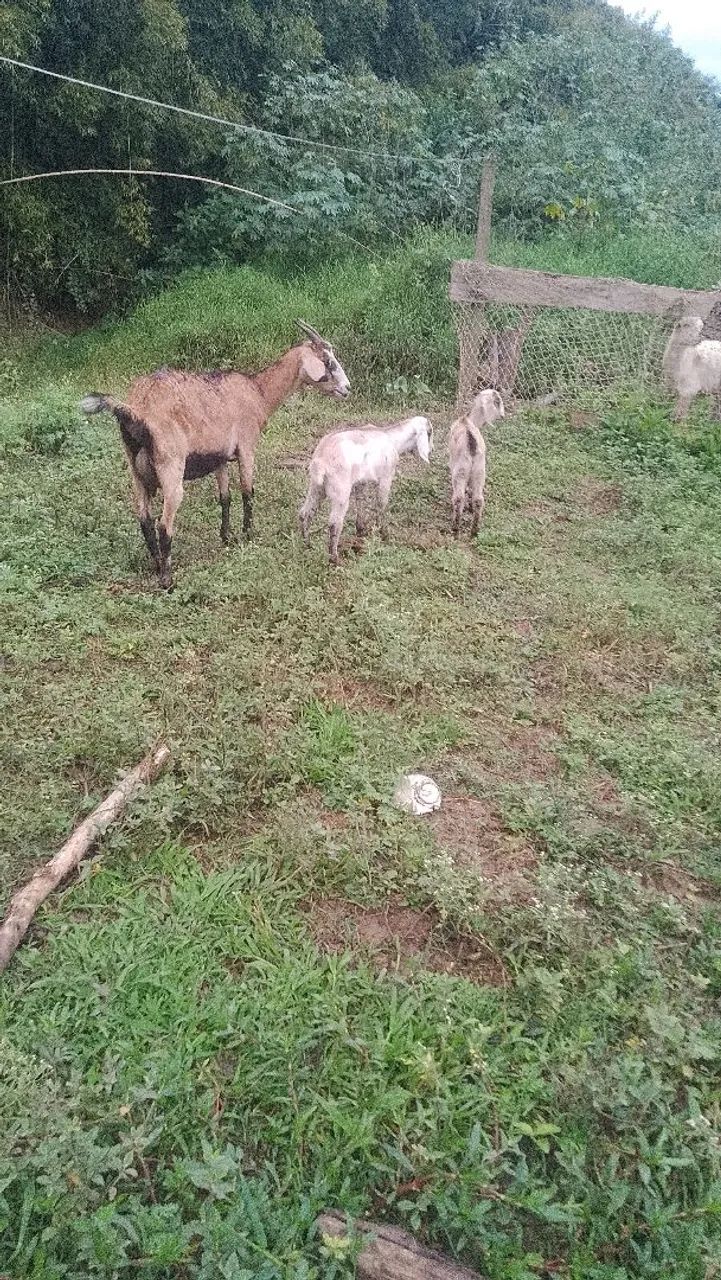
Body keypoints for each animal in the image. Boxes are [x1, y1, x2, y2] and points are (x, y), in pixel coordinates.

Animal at [80, 322, 350, 588]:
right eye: (327, 360)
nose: (347, 389)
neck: (257, 392)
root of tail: (137, 409)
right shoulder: (246, 446)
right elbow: (247, 492)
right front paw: (248, 535)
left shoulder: (219, 457)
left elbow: (225, 497)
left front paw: (226, 537)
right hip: (170, 465)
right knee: (164, 525)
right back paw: (167, 579)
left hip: (135, 470)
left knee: (145, 520)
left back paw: (156, 564)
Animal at [299, 415, 433, 565]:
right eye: (429, 433)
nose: (432, 449)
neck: (392, 439)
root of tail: (321, 461)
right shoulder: (386, 477)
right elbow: (381, 504)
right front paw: (383, 533)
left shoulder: (360, 482)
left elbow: (360, 501)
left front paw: (361, 530)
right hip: (340, 491)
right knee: (334, 524)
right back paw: (334, 559)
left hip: (316, 487)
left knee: (305, 513)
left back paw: (306, 544)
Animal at [448, 388, 505, 537]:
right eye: (498, 401)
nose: (502, 416)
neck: (468, 420)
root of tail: (471, 443)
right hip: (480, 470)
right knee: (479, 499)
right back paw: (474, 530)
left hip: (461, 470)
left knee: (458, 498)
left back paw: (455, 528)